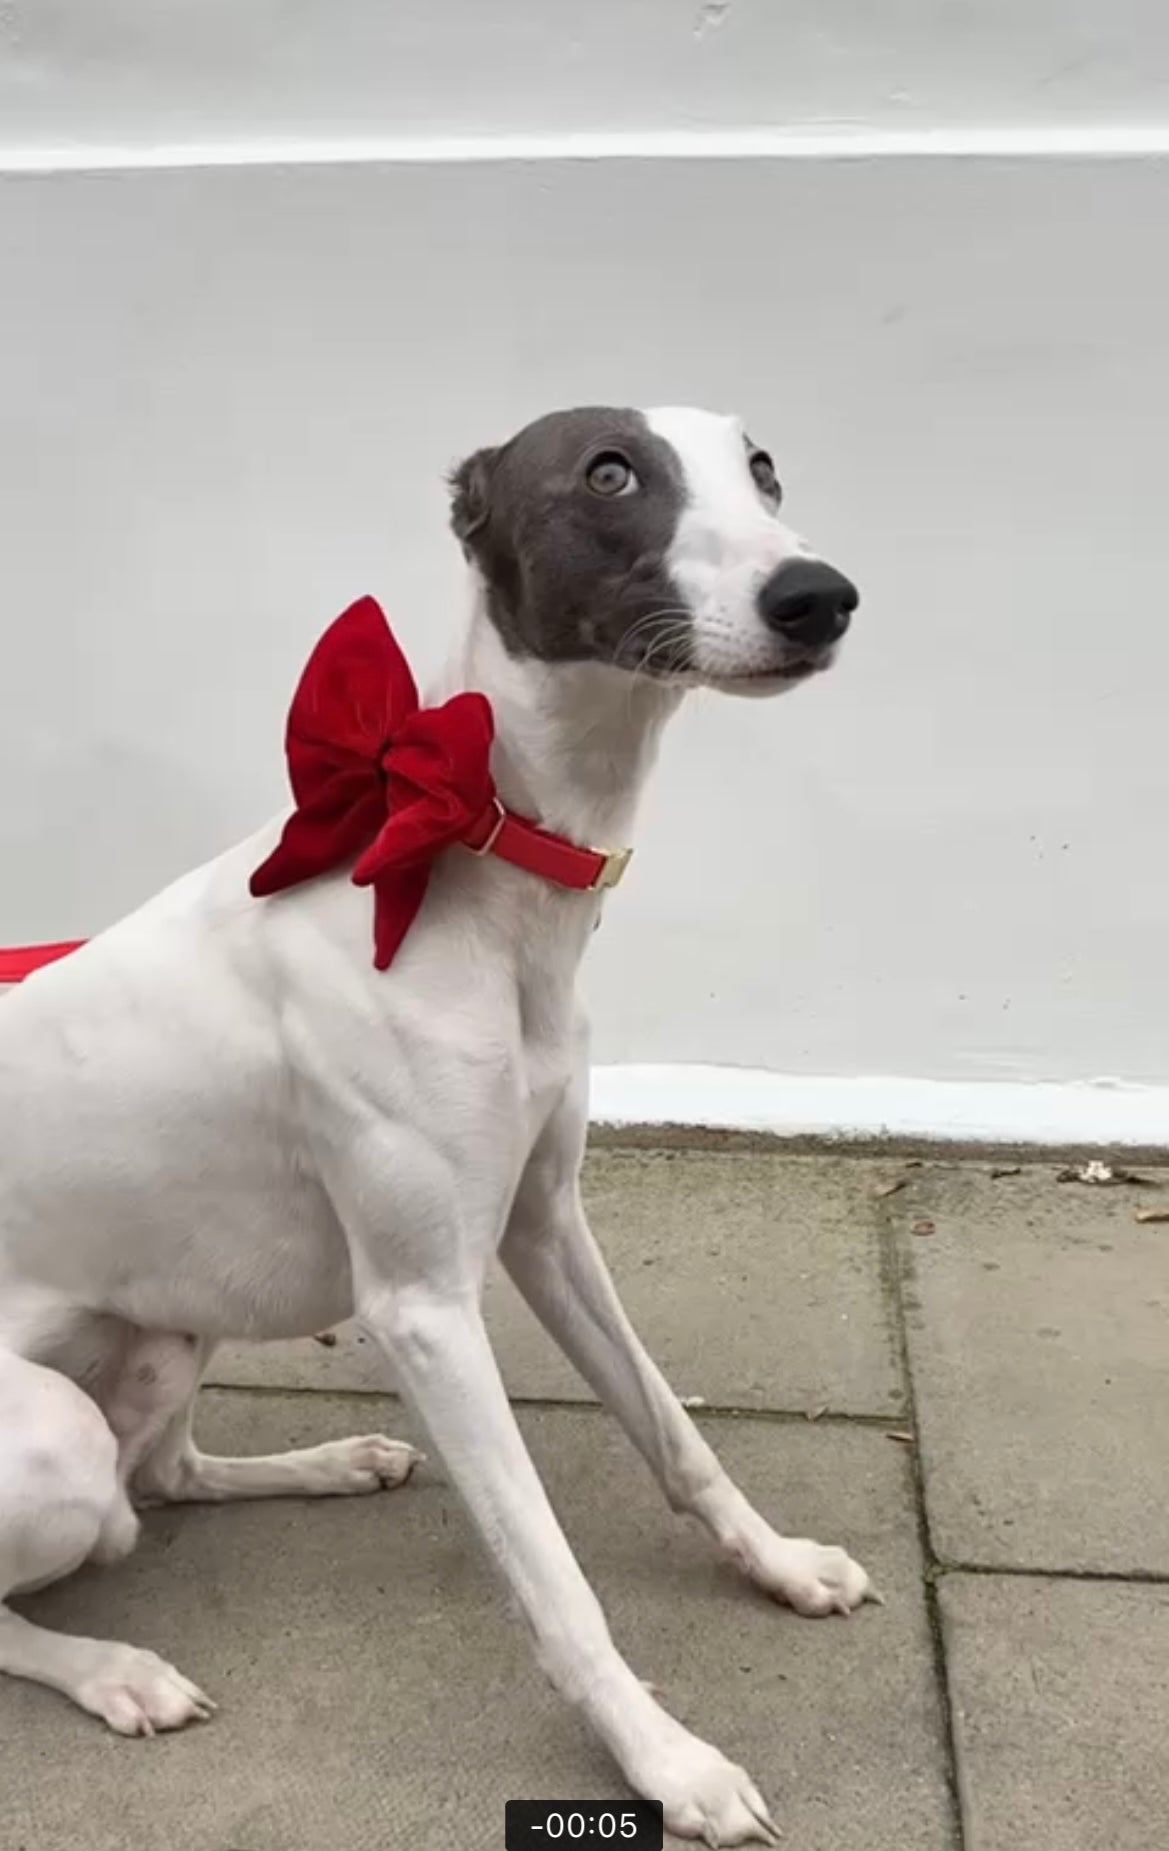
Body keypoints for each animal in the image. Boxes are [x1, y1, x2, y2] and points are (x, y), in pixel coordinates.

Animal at [0, 409, 873, 1851]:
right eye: (608, 473)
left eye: (760, 469)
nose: (819, 596)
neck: (474, 850)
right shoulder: (423, 1303)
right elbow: (555, 1578)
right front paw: (667, 1758)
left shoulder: (545, 1222)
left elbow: (674, 1434)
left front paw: (782, 1562)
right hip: (49, 1437)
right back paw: (115, 1668)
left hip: (170, 1327)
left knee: (163, 1477)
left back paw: (329, 1461)